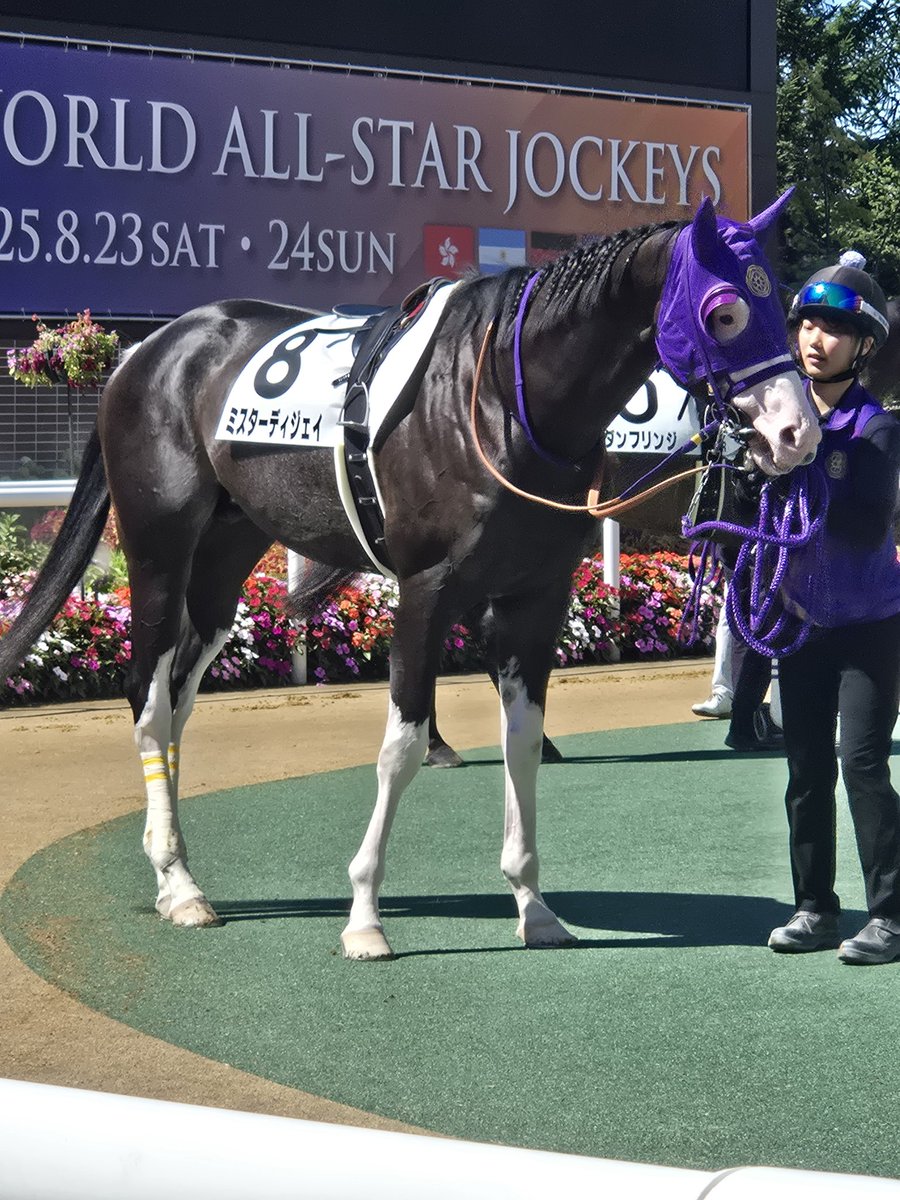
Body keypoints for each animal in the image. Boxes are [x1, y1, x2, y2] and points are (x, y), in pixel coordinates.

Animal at [0, 193, 821, 960]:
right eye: (723, 311)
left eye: (780, 306)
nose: (798, 433)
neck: (501, 400)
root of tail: (147, 350)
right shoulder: (427, 588)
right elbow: (401, 744)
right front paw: (365, 917)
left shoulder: (536, 595)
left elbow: (523, 741)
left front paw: (534, 907)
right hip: (160, 549)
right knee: (146, 697)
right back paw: (178, 884)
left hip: (225, 557)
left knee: (176, 701)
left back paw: (174, 864)